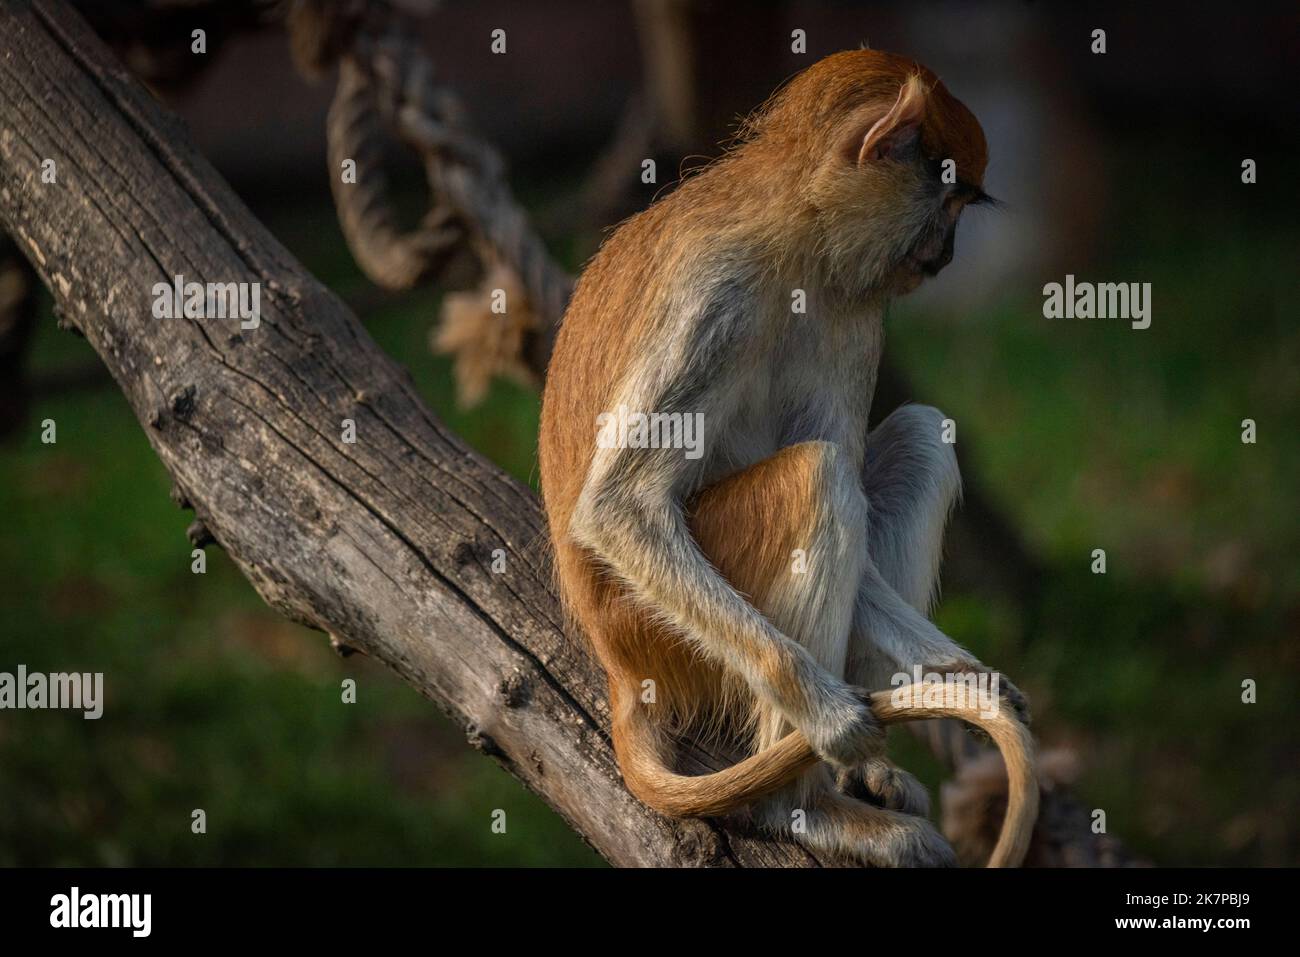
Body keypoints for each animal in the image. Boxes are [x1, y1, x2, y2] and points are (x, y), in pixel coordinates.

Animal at [538, 49, 1037, 867]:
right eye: (948, 201)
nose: (948, 253)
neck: (798, 228)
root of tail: (616, 663)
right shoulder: (717, 294)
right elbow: (620, 506)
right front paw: (830, 717)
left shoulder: (854, 310)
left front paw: (970, 680)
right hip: (656, 630)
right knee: (817, 478)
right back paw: (798, 805)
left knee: (918, 437)